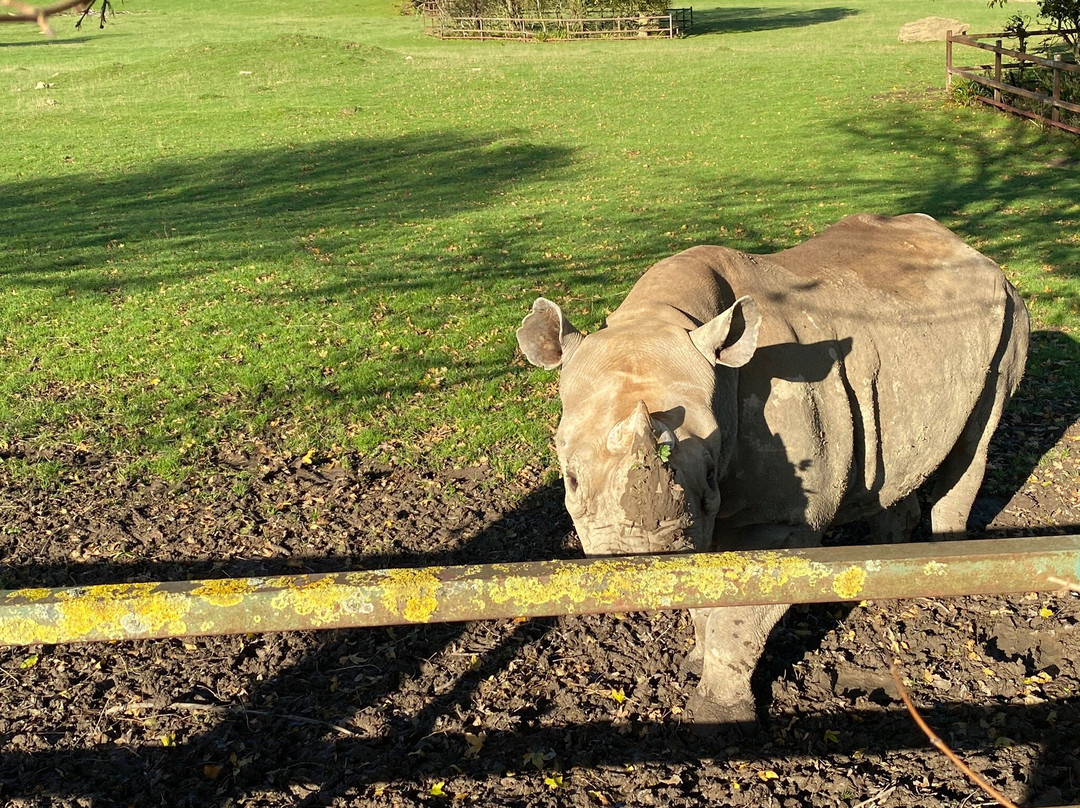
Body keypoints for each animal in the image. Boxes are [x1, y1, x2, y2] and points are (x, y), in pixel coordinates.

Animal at [516, 213, 1029, 725]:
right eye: (571, 479)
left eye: (708, 479)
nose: (643, 570)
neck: (661, 316)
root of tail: (970, 249)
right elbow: (707, 590)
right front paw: (695, 659)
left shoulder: (780, 521)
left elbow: (740, 612)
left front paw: (717, 714)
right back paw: (886, 573)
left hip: (1009, 315)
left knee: (974, 444)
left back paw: (946, 576)